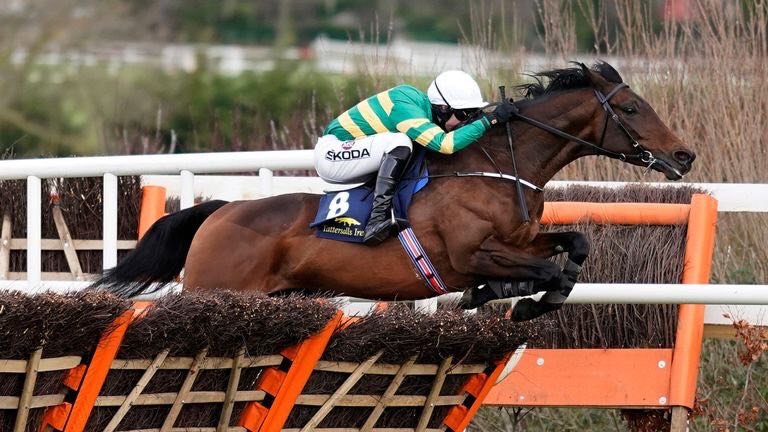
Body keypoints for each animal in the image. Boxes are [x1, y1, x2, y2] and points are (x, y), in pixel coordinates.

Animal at [95, 62, 695, 321]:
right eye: (631, 108)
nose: (685, 155)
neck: (497, 166)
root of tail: (218, 212)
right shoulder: (468, 254)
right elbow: (543, 269)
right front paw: (516, 299)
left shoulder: (519, 241)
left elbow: (573, 247)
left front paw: (518, 296)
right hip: (213, 289)